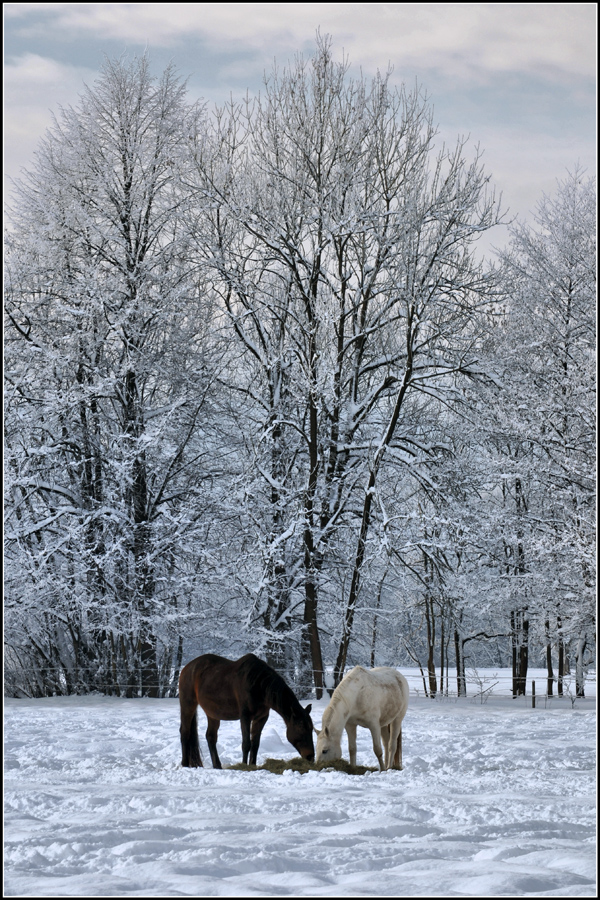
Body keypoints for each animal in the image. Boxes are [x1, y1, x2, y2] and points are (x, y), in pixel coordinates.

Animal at [179, 652, 314, 768]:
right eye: (301, 728)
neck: (258, 685)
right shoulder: (245, 716)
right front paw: (244, 766)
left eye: (311, 728)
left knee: (210, 736)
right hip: (188, 705)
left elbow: (255, 744)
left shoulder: (261, 718)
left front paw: (252, 765)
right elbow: (246, 744)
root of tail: (186, 668)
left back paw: (217, 766)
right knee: (185, 732)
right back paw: (185, 764)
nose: (311, 756)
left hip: (212, 713)